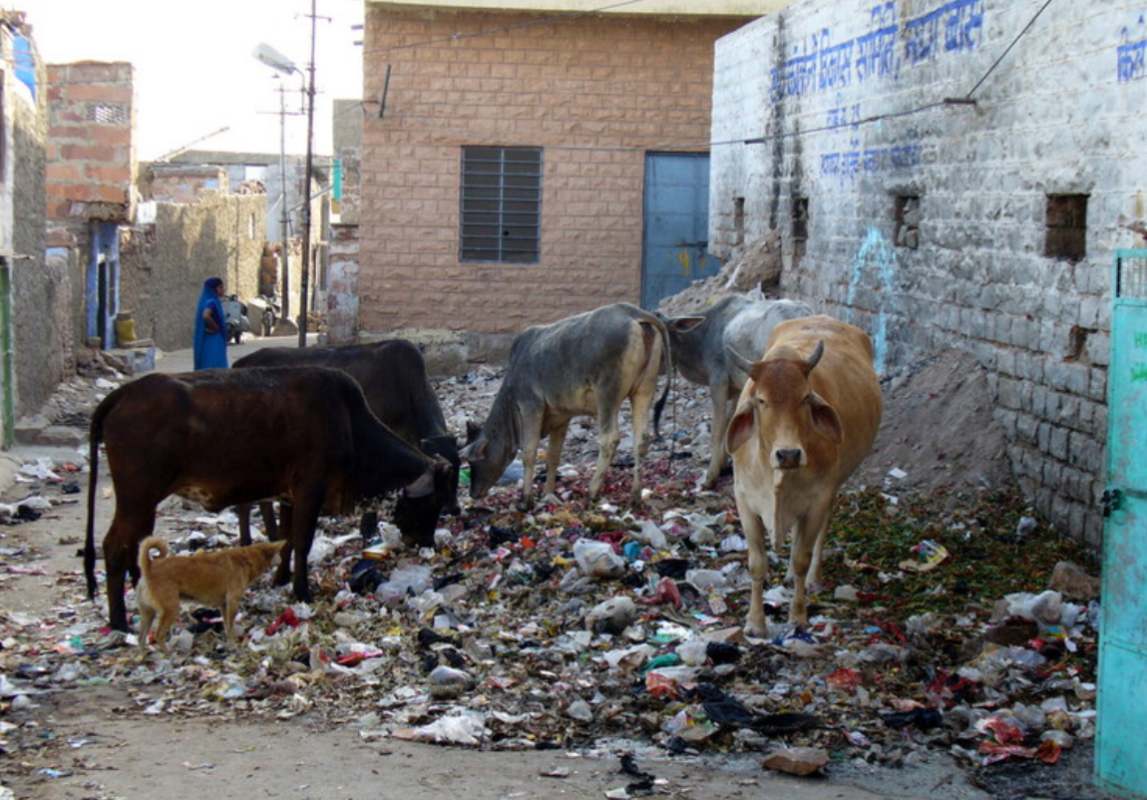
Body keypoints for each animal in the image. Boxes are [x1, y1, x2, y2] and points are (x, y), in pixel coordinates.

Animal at [83, 367, 451, 628]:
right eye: (433, 502)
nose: (426, 543)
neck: (349, 424)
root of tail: (123, 394)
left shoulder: (288, 496)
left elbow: (286, 540)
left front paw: (280, 579)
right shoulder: (309, 488)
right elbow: (301, 541)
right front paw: (302, 591)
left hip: (143, 502)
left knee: (134, 548)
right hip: (137, 496)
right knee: (114, 547)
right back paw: (119, 622)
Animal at [137, 532, 286, 651]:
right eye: (279, 553)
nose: (282, 560)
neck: (247, 559)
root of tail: (149, 567)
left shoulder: (224, 605)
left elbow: (226, 626)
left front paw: (229, 644)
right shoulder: (232, 602)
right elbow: (230, 627)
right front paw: (233, 646)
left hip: (148, 612)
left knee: (141, 637)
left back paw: (142, 657)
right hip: (171, 609)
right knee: (159, 635)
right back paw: (168, 655)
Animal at [461, 300, 669, 505]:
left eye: (473, 461)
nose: (473, 492)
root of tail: (633, 312)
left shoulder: (531, 405)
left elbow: (529, 451)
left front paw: (526, 500)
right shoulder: (562, 415)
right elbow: (553, 456)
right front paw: (548, 494)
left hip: (607, 394)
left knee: (610, 438)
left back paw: (592, 492)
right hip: (644, 390)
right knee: (641, 439)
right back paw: (635, 496)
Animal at [665, 293, 816, 486]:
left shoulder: (718, 381)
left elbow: (717, 428)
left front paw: (709, 477)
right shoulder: (737, 388)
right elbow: (730, 421)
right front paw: (723, 464)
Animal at [729, 314, 880, 628]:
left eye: (806, 397)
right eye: (761, 399)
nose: (789, 454)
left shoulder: (816, 500)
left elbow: (802, 557)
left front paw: (797, 616)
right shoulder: (745, 501)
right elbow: (757, 564)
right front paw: (755, 622)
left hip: (831, 490)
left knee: (818, 535)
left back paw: (812, 580)